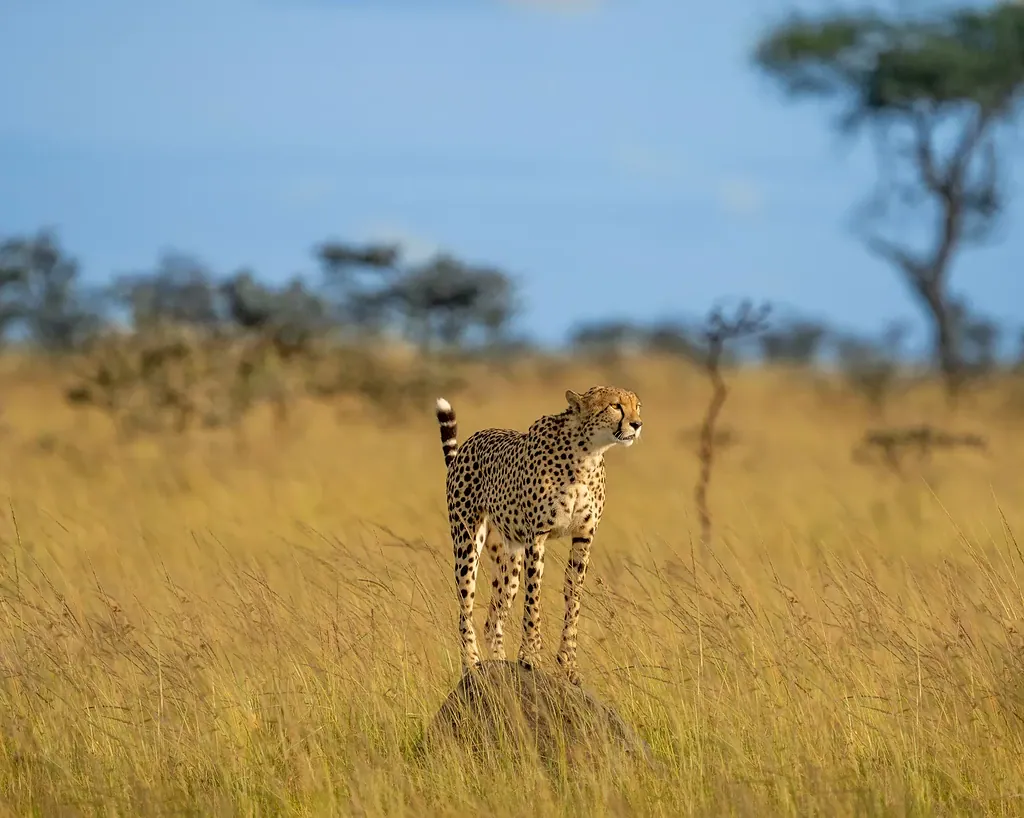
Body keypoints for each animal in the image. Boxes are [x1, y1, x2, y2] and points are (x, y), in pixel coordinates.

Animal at [434, 385, 643, 686]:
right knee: (465, 609)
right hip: (466, 542)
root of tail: (471, 442)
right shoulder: (537, 537)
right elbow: (534, 598)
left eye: (637, 406)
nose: (637, 424)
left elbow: (573, 599)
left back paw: (499, 664)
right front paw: (529, 656)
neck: (586, 455)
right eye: (615, 406)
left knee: (492, 620)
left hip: (509, 565)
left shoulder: (584, 537)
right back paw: (471, 665)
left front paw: (568, 665)